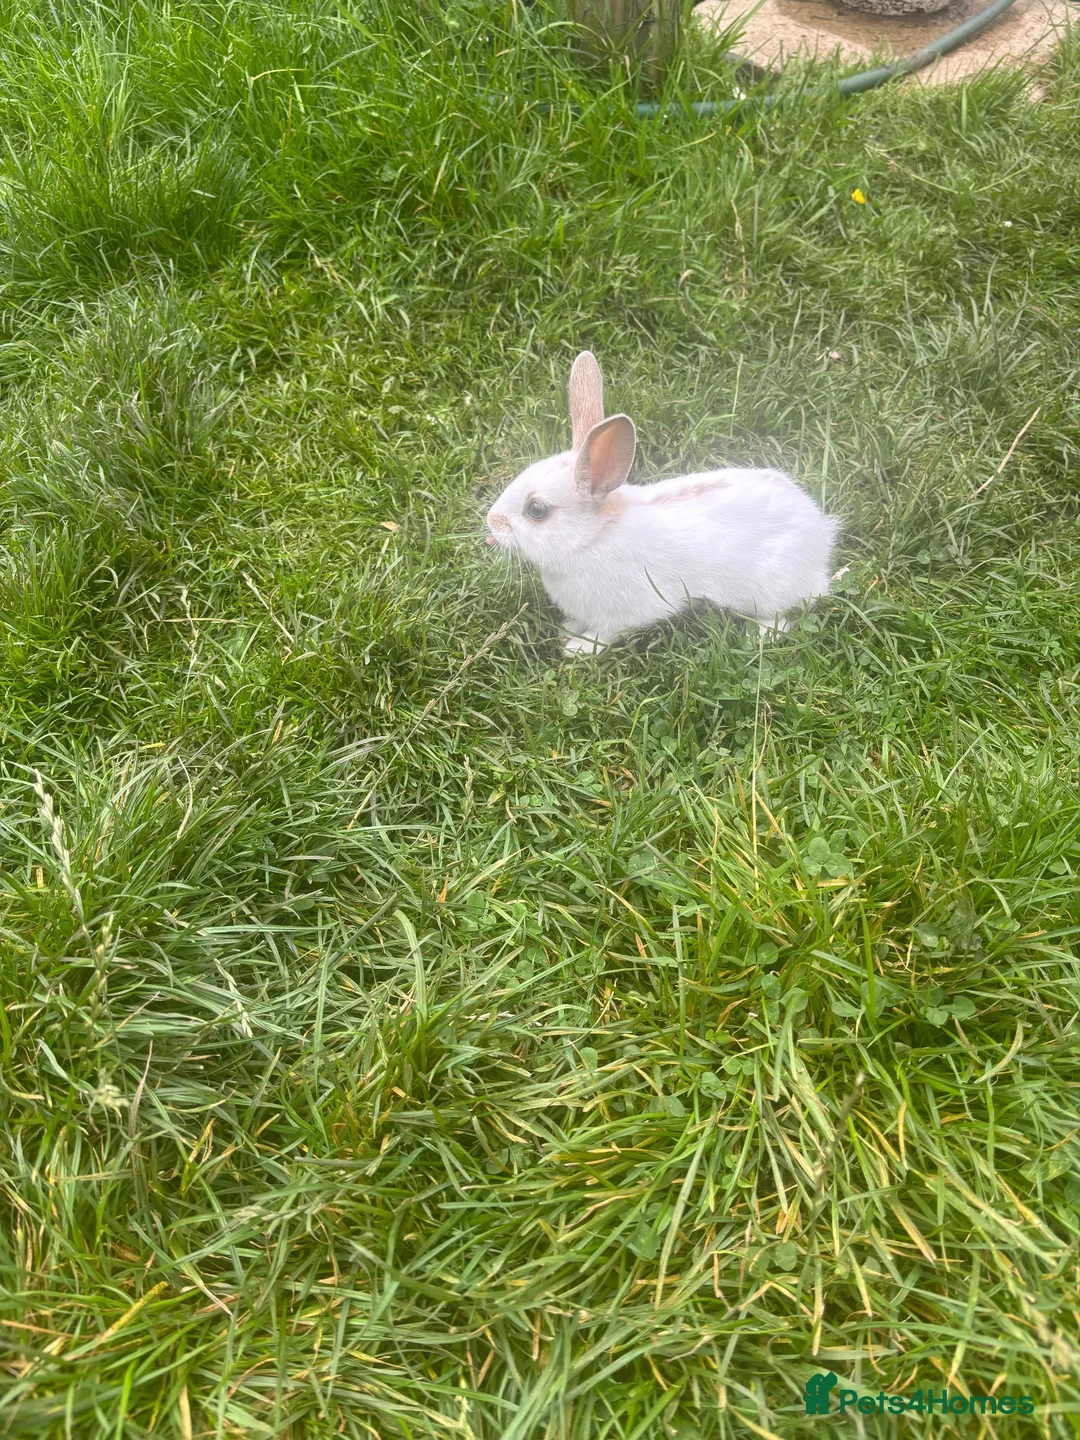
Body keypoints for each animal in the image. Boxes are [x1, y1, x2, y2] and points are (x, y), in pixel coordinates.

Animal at [485, 351, 838, 655]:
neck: (591, 539)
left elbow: (605, 635)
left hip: (768, 591)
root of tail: (821, 537)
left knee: (784, 616)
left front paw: (578, 648)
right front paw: (570, 628)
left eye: (536, 510)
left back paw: (759, 635)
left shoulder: (620, 615)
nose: (492, 522)